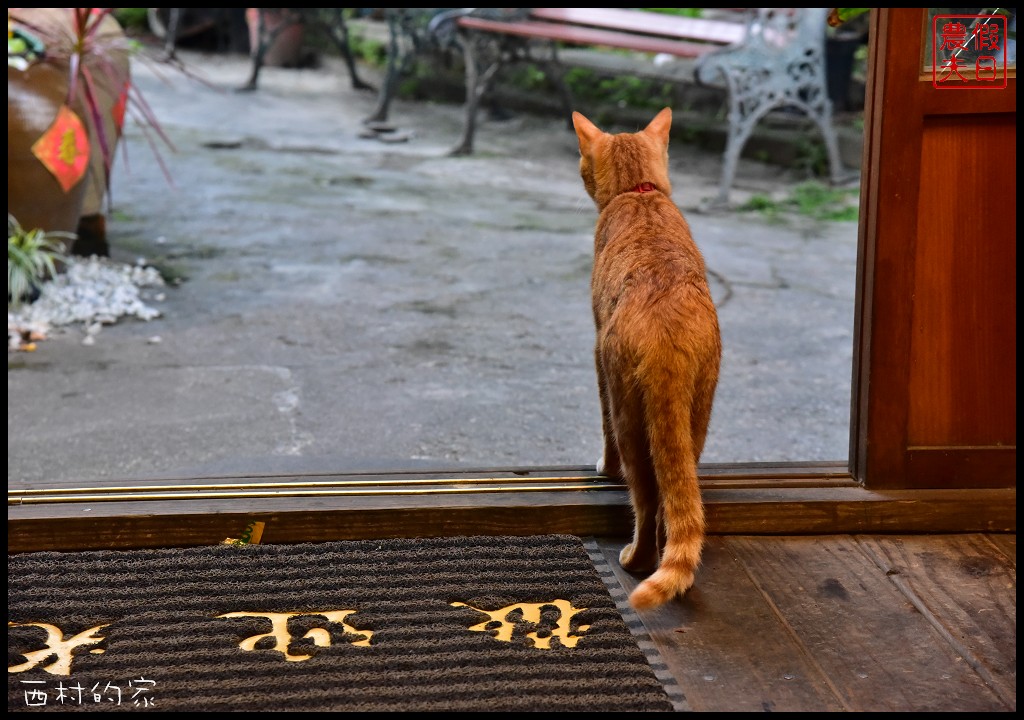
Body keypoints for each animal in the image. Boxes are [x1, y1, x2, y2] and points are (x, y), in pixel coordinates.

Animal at [577, 107, 720, 610]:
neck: (639, 194)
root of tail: (667, 337)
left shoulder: (597, 355)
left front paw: (602, 468)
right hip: (697, 413)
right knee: (677, 492)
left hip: (628, 412)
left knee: (646, 496)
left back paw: (637, 560)